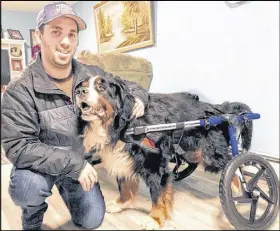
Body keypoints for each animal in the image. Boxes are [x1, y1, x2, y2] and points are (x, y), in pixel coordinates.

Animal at [74, 70, 254, 229]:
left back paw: (239, 187)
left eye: (101, 87)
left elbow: (158, 197)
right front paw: (122, 203)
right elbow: (125, 186)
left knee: (232, 162)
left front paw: (155, 220)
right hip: (189, 150)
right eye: (83, 85)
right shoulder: (123, 159)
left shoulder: (154, 165)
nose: (79, 91)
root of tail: (216, 108)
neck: (122, 126)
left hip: (210, 154)